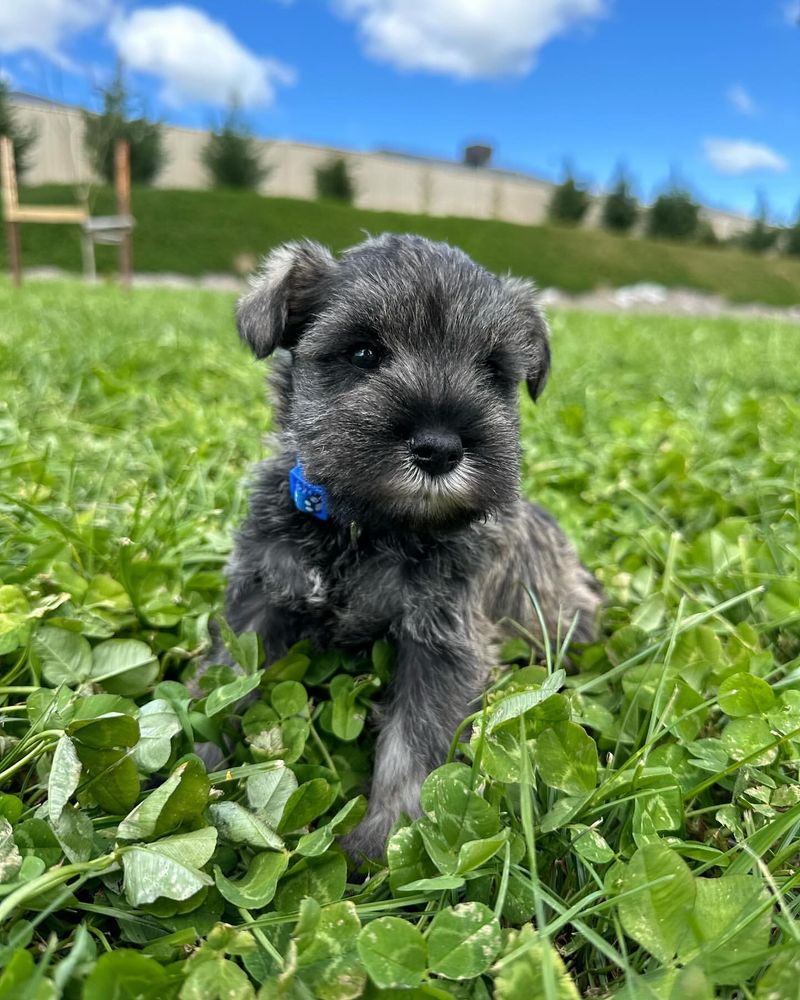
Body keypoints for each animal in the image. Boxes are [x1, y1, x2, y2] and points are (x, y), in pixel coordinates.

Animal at [225, 234, 600, 860]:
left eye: (492, 369)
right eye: (362, 354)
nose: (440, 447)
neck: (365, 525)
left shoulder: (442, 642)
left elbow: (414, 747)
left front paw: (384, 843)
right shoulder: (258, 599)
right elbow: (224, 685)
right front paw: (194, 765)